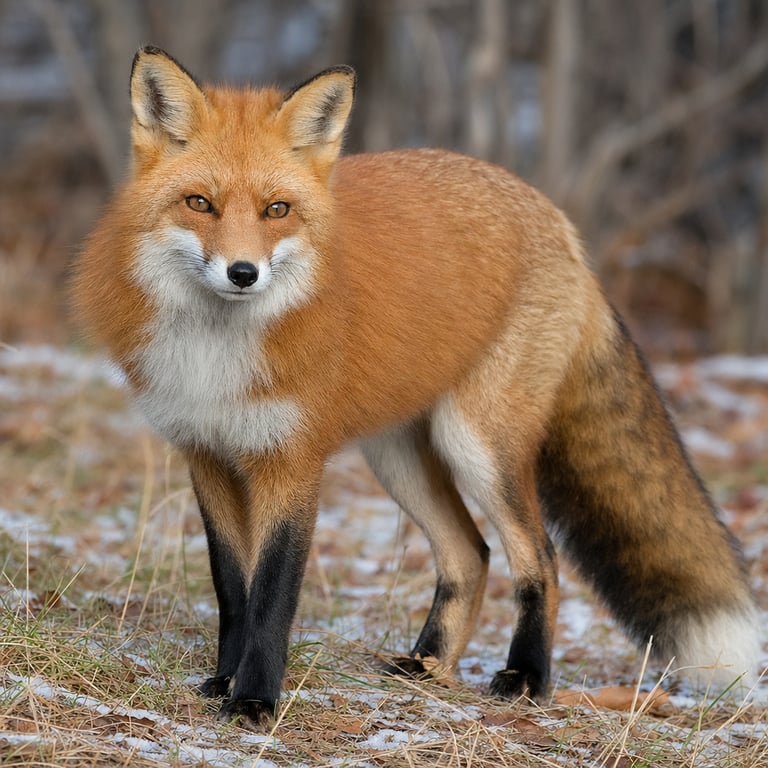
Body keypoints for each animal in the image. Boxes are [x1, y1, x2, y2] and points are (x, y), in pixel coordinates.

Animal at [72, 46, 759, 729]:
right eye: (199, 204)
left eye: (277, 210)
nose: (244, 273)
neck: (218, 354)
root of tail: (560, 222)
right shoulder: (208, 455)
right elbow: (232, 589)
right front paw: (222, 682)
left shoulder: (293, 462)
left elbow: (272, 594)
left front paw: (255, 700)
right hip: (398, 457)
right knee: (471, 554)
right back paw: (428, 665)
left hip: (477, 446)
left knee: (540, 556)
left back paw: (527, 678)